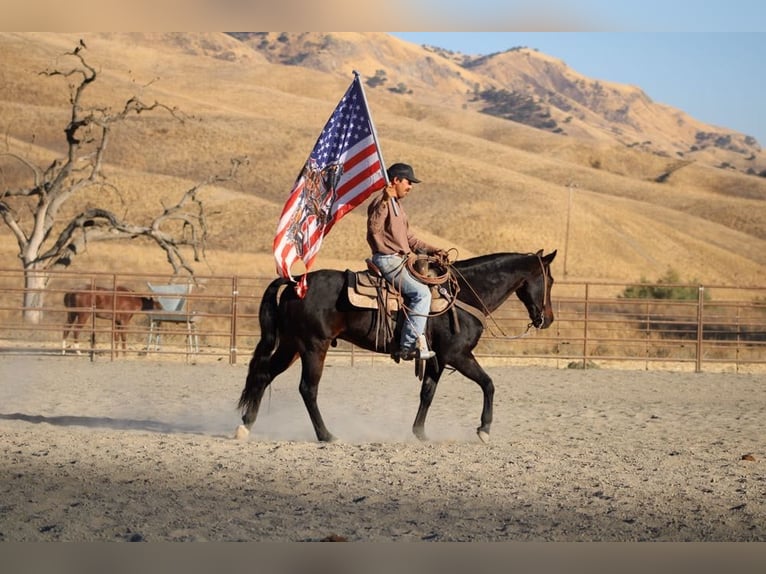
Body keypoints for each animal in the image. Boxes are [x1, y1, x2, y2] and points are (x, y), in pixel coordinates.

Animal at [236, 250, 560, 444]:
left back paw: (246, 425)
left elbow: (427, 393)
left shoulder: (438, 359)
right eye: (552, 279)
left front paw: (420, 433)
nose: (547, 320)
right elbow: (489, 384)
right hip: (314, 347)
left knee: (263, 375)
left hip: (291, 346)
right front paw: (484, 430)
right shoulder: (459, 355)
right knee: (307, 389)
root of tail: (295, 283)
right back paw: (327, 435)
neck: (464, 295)